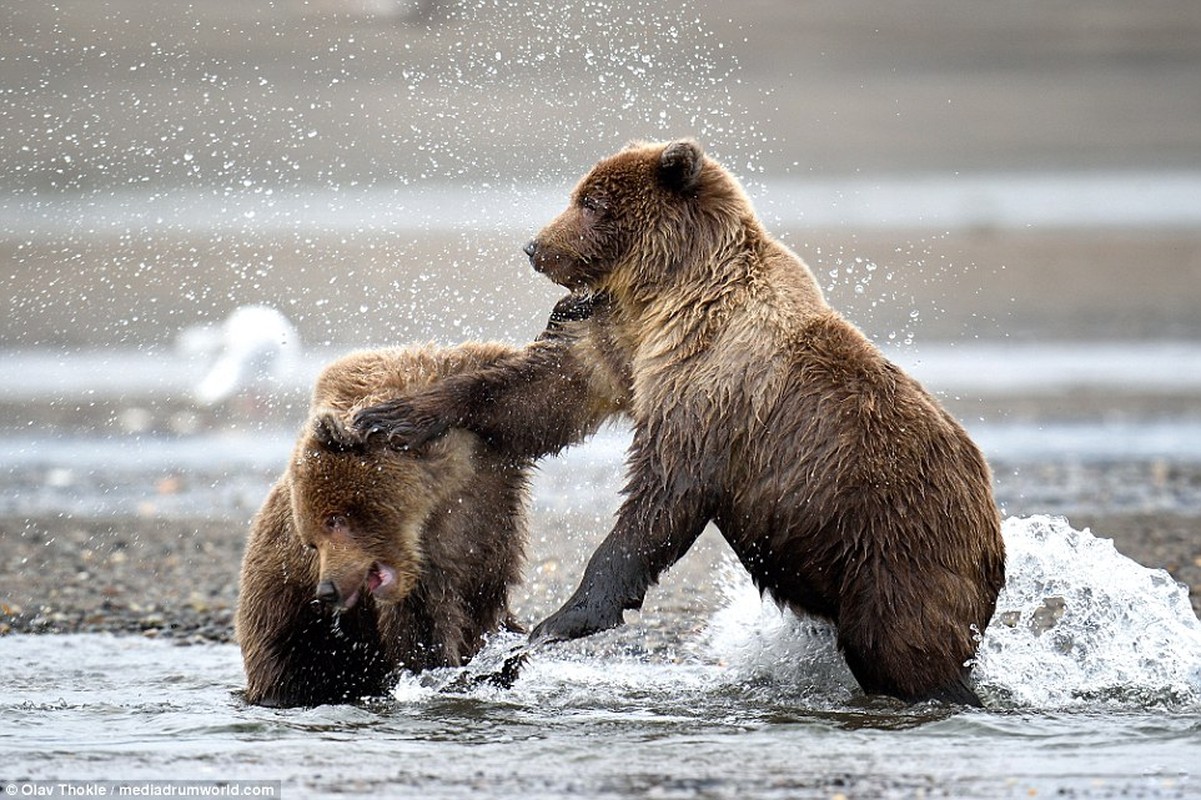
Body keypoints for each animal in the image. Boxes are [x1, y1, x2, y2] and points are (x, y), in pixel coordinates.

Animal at [236, 343, 528, 706]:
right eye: (311, 542)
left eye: (335, 520)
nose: (327, 590)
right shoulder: (420, 582)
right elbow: (424, 630)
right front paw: (443, 674)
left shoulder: (487, 495)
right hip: (289, 622)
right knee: (287, 667)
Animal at [353, 138, 1004, 706]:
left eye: (592, 203)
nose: (535, 247)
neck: (672, 290)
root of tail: (992, 525)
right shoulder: (628, 343)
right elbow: (544, 395)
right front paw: (387, 415)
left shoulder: (709, 381)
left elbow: (663, 492)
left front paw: (561, 620)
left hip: (898, 547)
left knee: (901, 649)